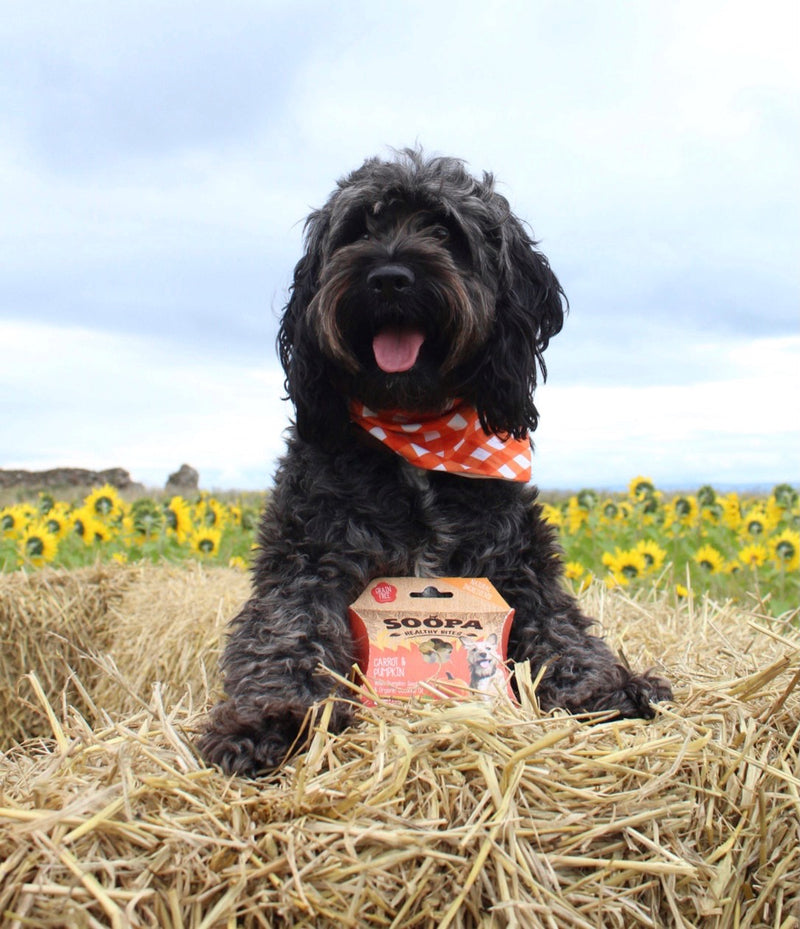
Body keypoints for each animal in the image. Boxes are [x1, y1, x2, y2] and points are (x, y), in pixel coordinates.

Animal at [197, 150, 672, 776]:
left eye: (445, 231)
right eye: (360, 230)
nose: (389, 277)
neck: (418, 434)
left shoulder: (518, 571)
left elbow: (564, 632)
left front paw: (610, 688)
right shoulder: (307, 563)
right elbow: (286, 636)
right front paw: (268, 719)